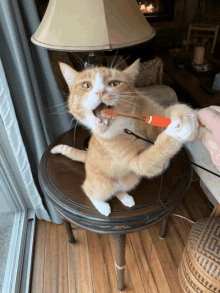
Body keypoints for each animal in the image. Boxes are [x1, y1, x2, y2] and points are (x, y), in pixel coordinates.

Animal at [50, 58, 199, 214]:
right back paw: (103, 207)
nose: (100, 91)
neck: (125, 122)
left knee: (118, 190)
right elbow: (156, 152)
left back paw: (126, 198)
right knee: (90, 190)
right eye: (85, 85)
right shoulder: (137, 162)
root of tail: (87, 155)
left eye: (114, 84)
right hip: (103, 184)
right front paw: (177, 131)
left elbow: (170, 111)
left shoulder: (154, 112)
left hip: (131, 179)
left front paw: (186, 116)